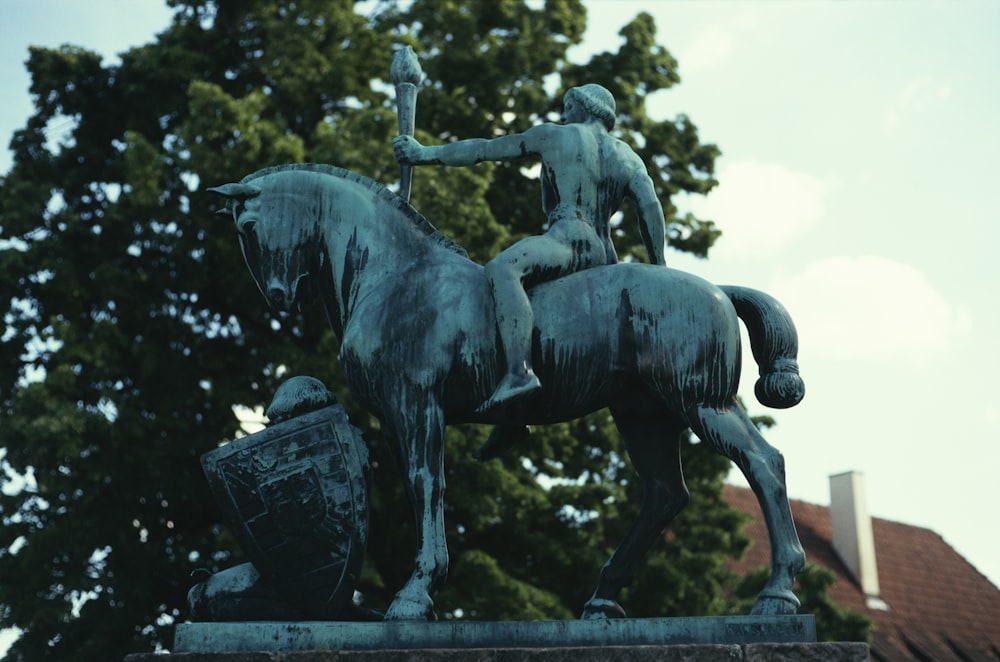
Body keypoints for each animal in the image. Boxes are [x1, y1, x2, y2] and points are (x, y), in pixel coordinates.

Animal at [209, 162, 804, 624]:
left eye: (249, 226)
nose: (278, 297)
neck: (396, 276)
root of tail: (718, 290)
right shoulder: (391, 415)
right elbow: (414, 486)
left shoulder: (416, 402)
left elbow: (427, 483)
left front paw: (415, 594)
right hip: (645, 415)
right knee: (664, 494)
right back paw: (602, 600)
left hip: (701, 401)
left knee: (763, 464)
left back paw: (778, 593)